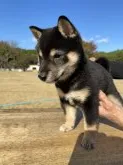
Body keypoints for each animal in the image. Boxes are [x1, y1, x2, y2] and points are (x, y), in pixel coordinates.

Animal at [29, 16, 123, 150]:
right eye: (40, 57)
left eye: (57, 56)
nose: (40, 76)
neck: (71, 79)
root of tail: (103, 67)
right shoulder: (65, 100)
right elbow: (69, 115)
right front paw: (68, 125)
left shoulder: (90, 101)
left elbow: (90, 124)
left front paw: (88, 139)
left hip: (112, 93)